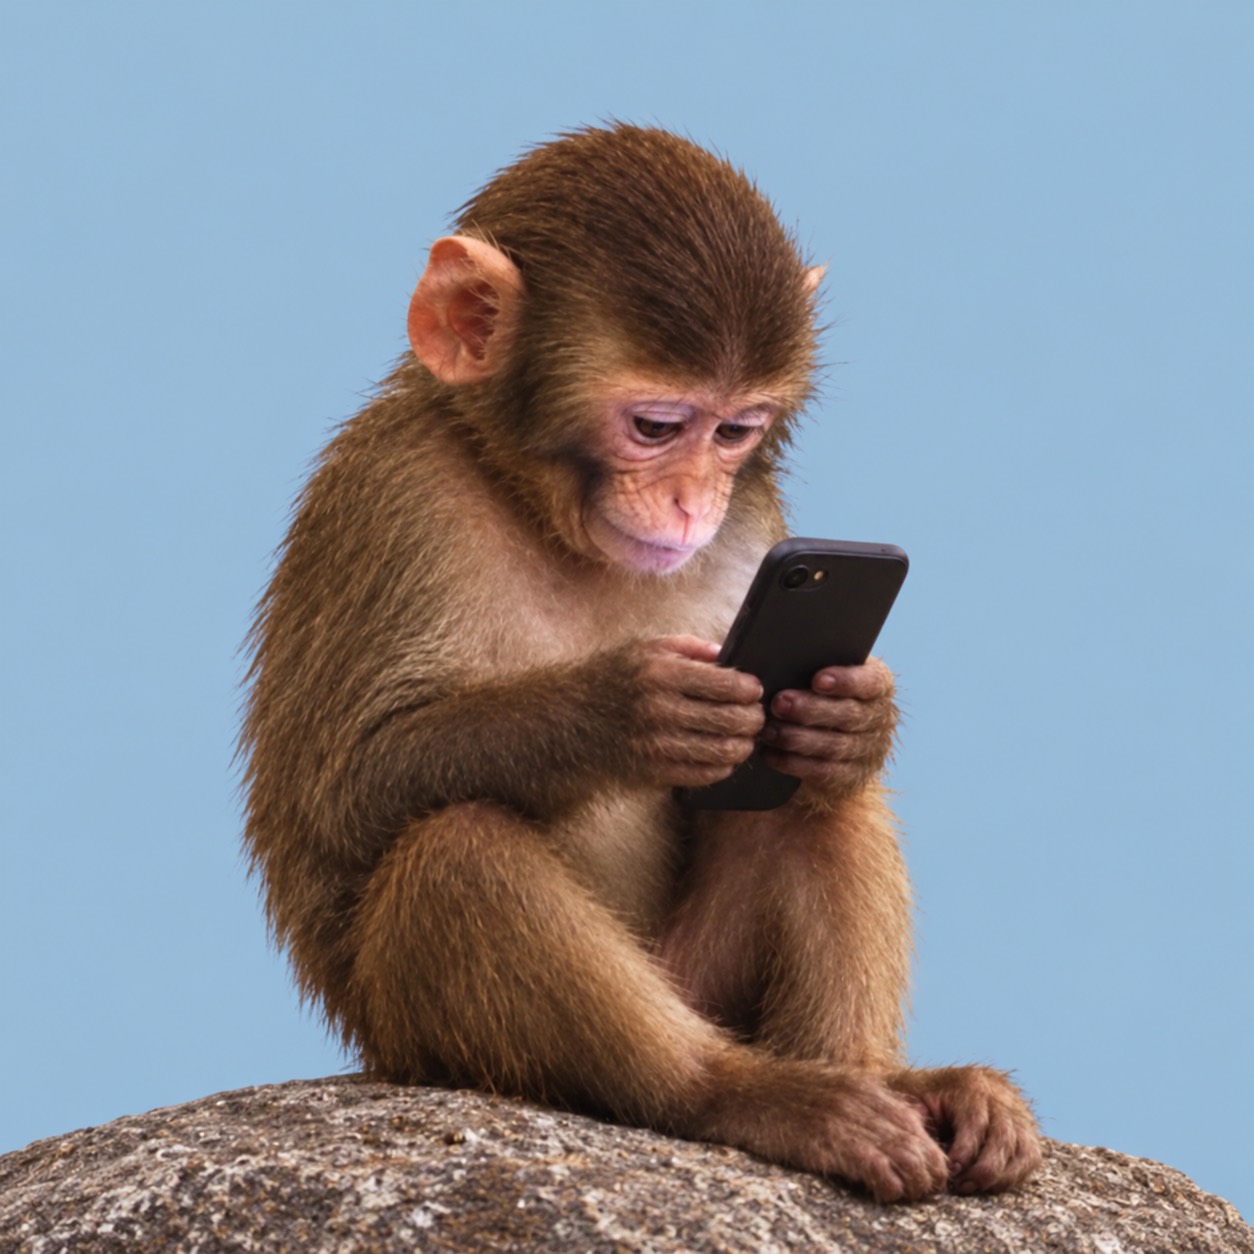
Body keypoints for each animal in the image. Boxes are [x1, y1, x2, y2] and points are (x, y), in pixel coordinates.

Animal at [240, 124, 1042, 1203]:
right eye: (657, 427)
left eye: (737, 431)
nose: (693, 504)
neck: (536, 505)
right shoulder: (388, 492)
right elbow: (341, 794)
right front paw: (625, 708)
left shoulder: (758, 525)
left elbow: (820, 746)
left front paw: (859, 713)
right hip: (426, 1042)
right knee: (458, 851)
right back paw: (741, 1095)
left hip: (705, 976)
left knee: (813, 794)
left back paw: (887, 1080)